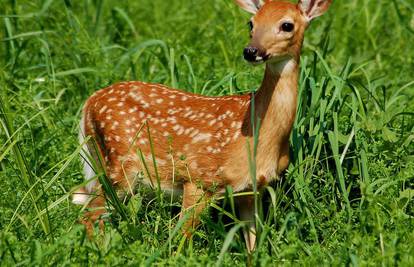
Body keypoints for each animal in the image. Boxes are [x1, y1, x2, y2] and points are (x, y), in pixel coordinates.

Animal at [72, 0, 330, 253]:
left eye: (287, 25)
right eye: (251, 23)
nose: (251, 51)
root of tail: (89, 102)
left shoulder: (251, 189)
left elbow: (252, 242)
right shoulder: (198, 179)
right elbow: (180, 238)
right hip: (121, 165)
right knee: (89, 214)